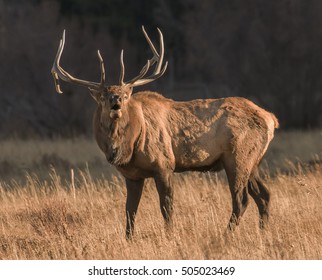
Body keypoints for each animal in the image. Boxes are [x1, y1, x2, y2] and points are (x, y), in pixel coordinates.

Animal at [51, 27, 278, 240]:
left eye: (125, 95)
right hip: (252, 162)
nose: (116, 101)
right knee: (264, 195)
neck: (126, 148)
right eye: (104, 96)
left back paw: (225, 236)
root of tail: (271, 118)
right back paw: (262, 232)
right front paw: (129, 240)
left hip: (238, 157)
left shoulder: (164, 164)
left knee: (242, 200)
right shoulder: (132, 176)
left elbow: (166, 208)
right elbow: (130, 212)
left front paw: (170, 236)